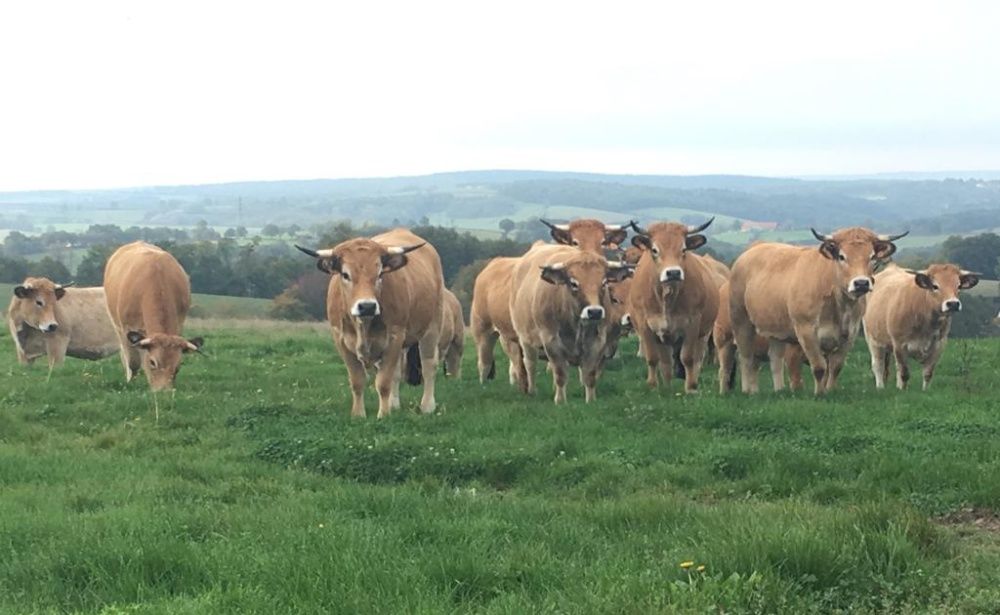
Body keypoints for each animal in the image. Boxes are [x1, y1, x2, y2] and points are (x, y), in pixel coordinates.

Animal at [104, 241, 202, 390]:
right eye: (152, 362)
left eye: (178, 366)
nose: (163, 391)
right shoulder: (128, 329)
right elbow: (133, 362)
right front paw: (131, 382)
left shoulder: (179, 325)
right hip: (116, 325)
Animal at [292, 229, 442, 422]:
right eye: (345, 275)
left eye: (379, 274)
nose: (367, 306)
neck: (363, 326)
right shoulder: (340, 340)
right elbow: (357, 381)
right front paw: (358, 414)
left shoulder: (395, 337)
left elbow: (383, 382)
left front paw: (383, 415)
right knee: (397, 373)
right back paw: (394, 404)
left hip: (432, 327)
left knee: (429, 366)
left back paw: (427, 406)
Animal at [512, 245, 628, 404]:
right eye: (573, 283)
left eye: (604, 283)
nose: (595, 312)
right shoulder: (551, 342)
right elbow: (560, 374)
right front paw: (560, 401)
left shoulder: (597, 342)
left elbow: (589, 375)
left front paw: (590, 401)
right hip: (526, 340)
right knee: (530, 364)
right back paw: (532, 391)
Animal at [624, 219, 720, 392]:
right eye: (654, 250)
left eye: (683, 249)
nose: (673, 272)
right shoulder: (645, 325)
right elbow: (653, 358)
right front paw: (653, 386)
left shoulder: (693, 323)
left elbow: (687, 358)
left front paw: (690, 388)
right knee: (666, 362)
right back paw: (667, 385)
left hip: (703, 333)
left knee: (698, 358)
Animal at [728, 226, 908, 394]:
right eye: (841, 256)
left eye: (872, 257)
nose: (861, 283)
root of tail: (751, 251)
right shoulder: (806, 330)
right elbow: (820, 367)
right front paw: (819, 394)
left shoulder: (850, 333)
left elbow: (835, 367)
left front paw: (830, 390)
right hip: (740, 320)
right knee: (746, 357)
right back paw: (748, 391)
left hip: (775, 329)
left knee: (775, 359)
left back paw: (779, 390)